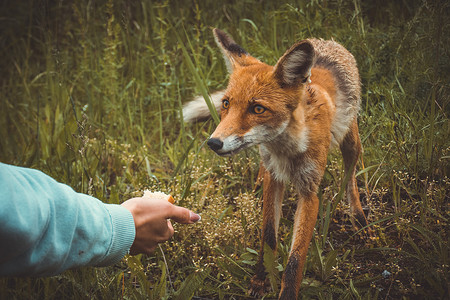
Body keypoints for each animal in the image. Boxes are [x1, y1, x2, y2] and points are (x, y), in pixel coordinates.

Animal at [183, 27, 370, 298]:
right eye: (226, 104)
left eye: (258, 109)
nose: (214, 143)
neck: (286, 150)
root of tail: (325, 42)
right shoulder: (274, 178)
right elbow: (268, 235)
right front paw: (261, 279)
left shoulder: (310, 192)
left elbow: (296, 259)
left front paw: (286, 292)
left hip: (351, 143)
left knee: (351, 176)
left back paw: (358, 217)